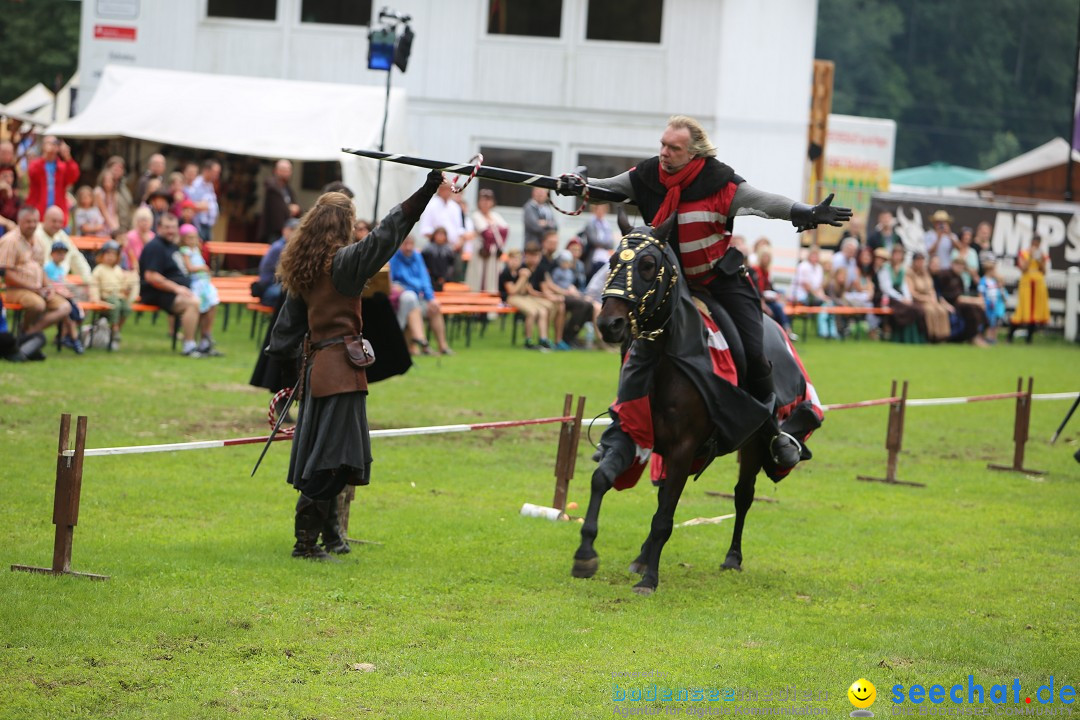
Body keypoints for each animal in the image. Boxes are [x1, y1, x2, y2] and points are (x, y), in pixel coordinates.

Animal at [574, 213, 816, 595]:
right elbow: (603, 478)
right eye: (611, 262)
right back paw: (642, 556)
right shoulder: (635, 433)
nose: (609, 324)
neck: (665, 362)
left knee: (743, 494)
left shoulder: (683, 448)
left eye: (647, 265)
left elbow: (665, 517)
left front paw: (649, 580)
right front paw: (586, 554)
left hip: (753, 443)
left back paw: (732, 557)